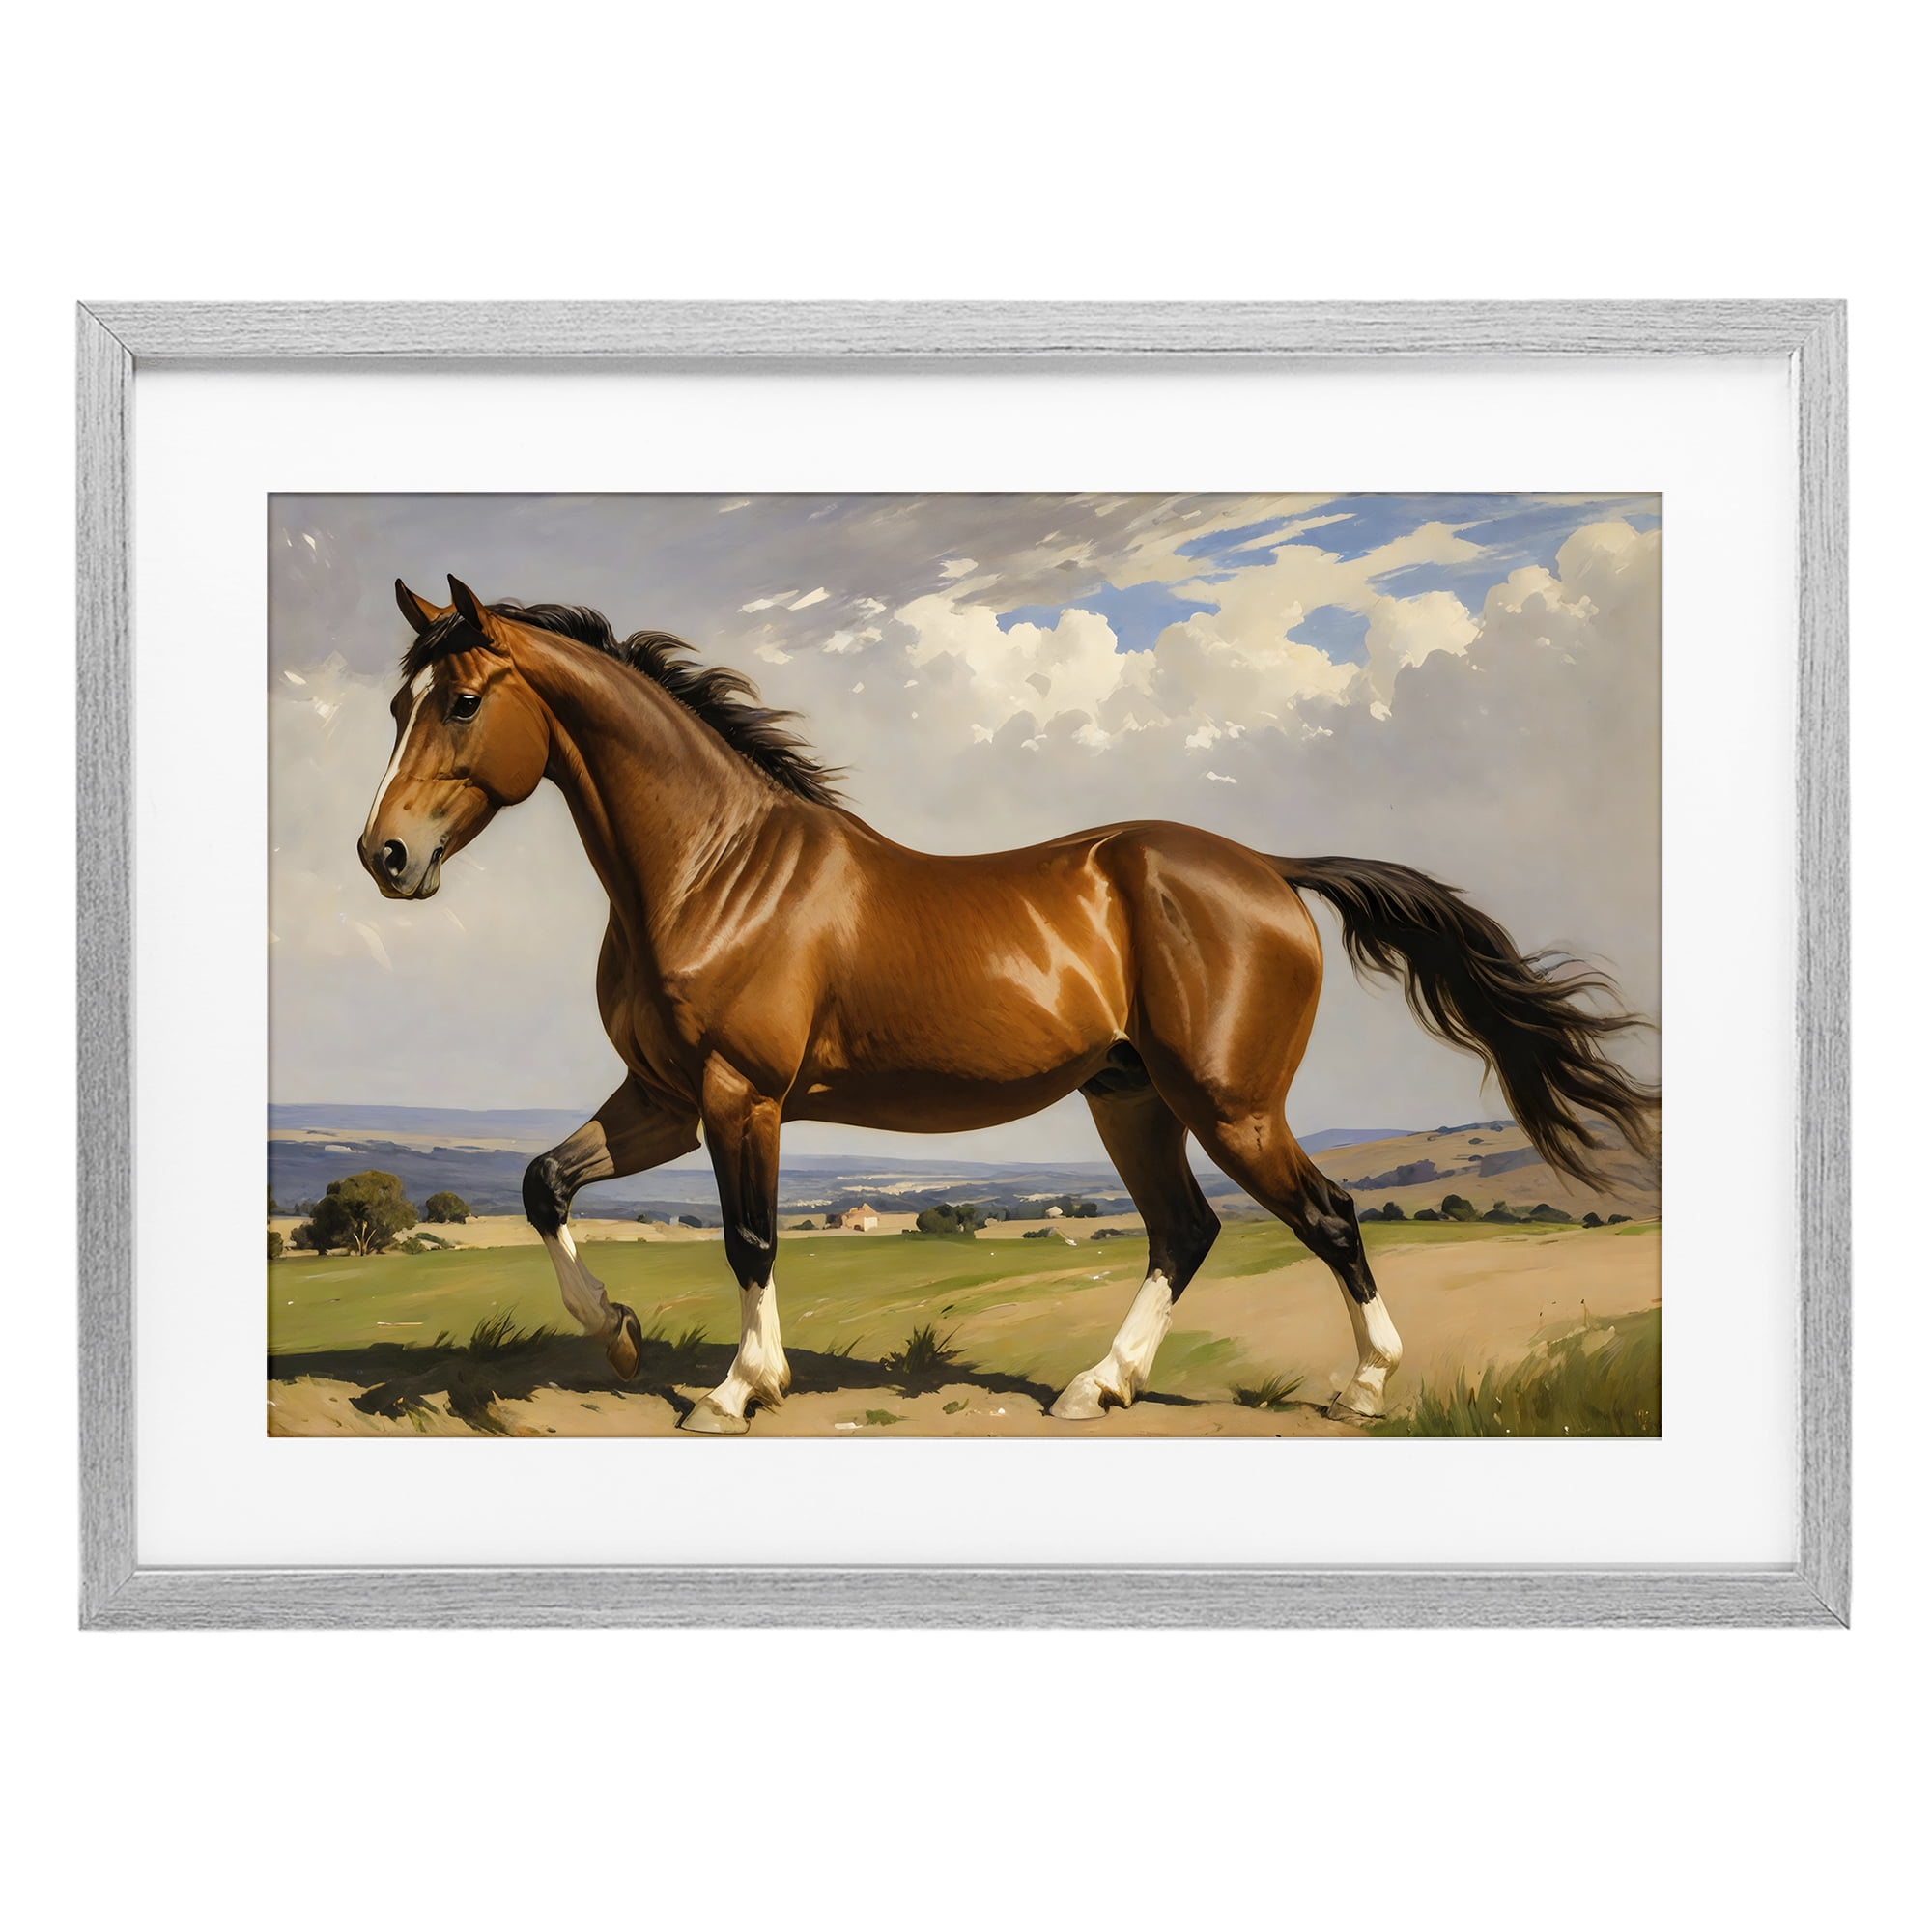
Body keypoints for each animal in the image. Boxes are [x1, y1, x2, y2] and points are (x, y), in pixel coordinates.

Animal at [357, 576, 1657, 1434]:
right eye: (394, 705)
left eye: (461, 700)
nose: (385, 855)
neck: (710, 870)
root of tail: (1269, 872)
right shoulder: (665, 1096)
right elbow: (542, 1183)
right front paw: (619, 1333)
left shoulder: (741, 1097)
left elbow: (749, 1236)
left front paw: (738, 1386)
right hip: (1131, 1099)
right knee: (1183, 1231)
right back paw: (1097, 1385)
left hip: (1229, 1103)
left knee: (1328, 1215)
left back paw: (1363, 1386)